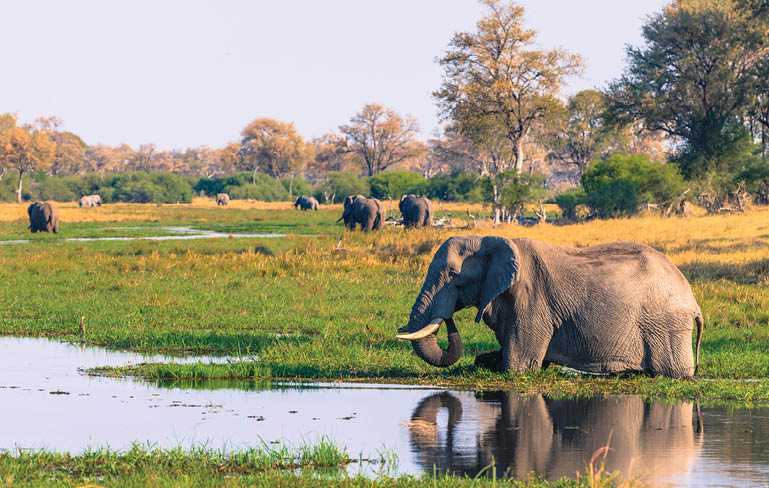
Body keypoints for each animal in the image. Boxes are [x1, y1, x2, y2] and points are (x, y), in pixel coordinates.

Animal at [396, 235, 703, 378]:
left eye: (452, 274)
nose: (448, 317)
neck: (492, 240)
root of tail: (693, 300)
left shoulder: (532, 301)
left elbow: (517, 367)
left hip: (666, 325)